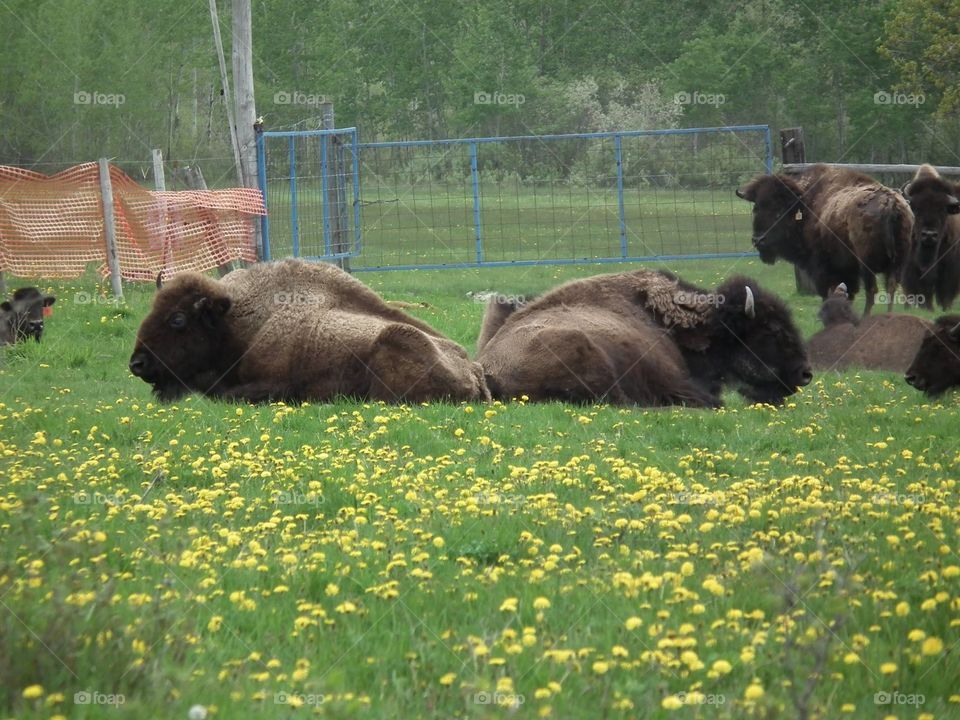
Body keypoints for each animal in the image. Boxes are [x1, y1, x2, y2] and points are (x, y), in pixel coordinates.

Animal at [736, 166, 916, 318]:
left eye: (779, 210)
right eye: (756, 207)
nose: (759, 240)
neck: (805, 206)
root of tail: (891, 203)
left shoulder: (823, 269)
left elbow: (829, 293)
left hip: (867, 265)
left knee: (872, 291)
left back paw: (867, 317)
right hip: (897, 263)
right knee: (890, 288)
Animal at [900, 165, 960, 310]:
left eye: (942, 210)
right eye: (916, 209)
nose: (929, 235)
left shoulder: (950, 267)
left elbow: (945, 293)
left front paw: (944, 309)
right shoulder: (911, 268)